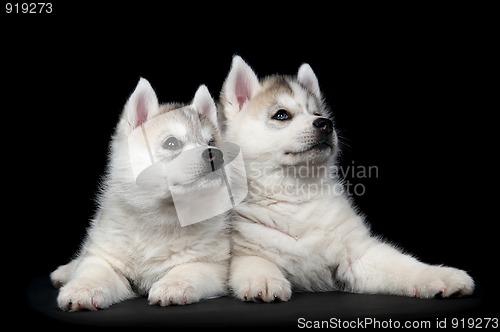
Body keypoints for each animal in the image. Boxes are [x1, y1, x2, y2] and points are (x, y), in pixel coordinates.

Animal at [50, 78, 230, 312]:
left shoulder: (213, 264)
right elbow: (94, 269)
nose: (215, 155)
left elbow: (189, 269)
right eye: (172, 143)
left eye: (212, 142)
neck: (161, 217)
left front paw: (173, 285)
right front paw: (83, 288)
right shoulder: (106, 257)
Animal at [219, 55, 472, 304]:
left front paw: (439, 275)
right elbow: (256, 261)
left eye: (317, 113)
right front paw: (264, 279)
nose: (325, 124)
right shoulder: (243, 252)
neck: (295, 192)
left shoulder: (358, 254)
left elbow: (404, 265)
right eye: (281, 115)